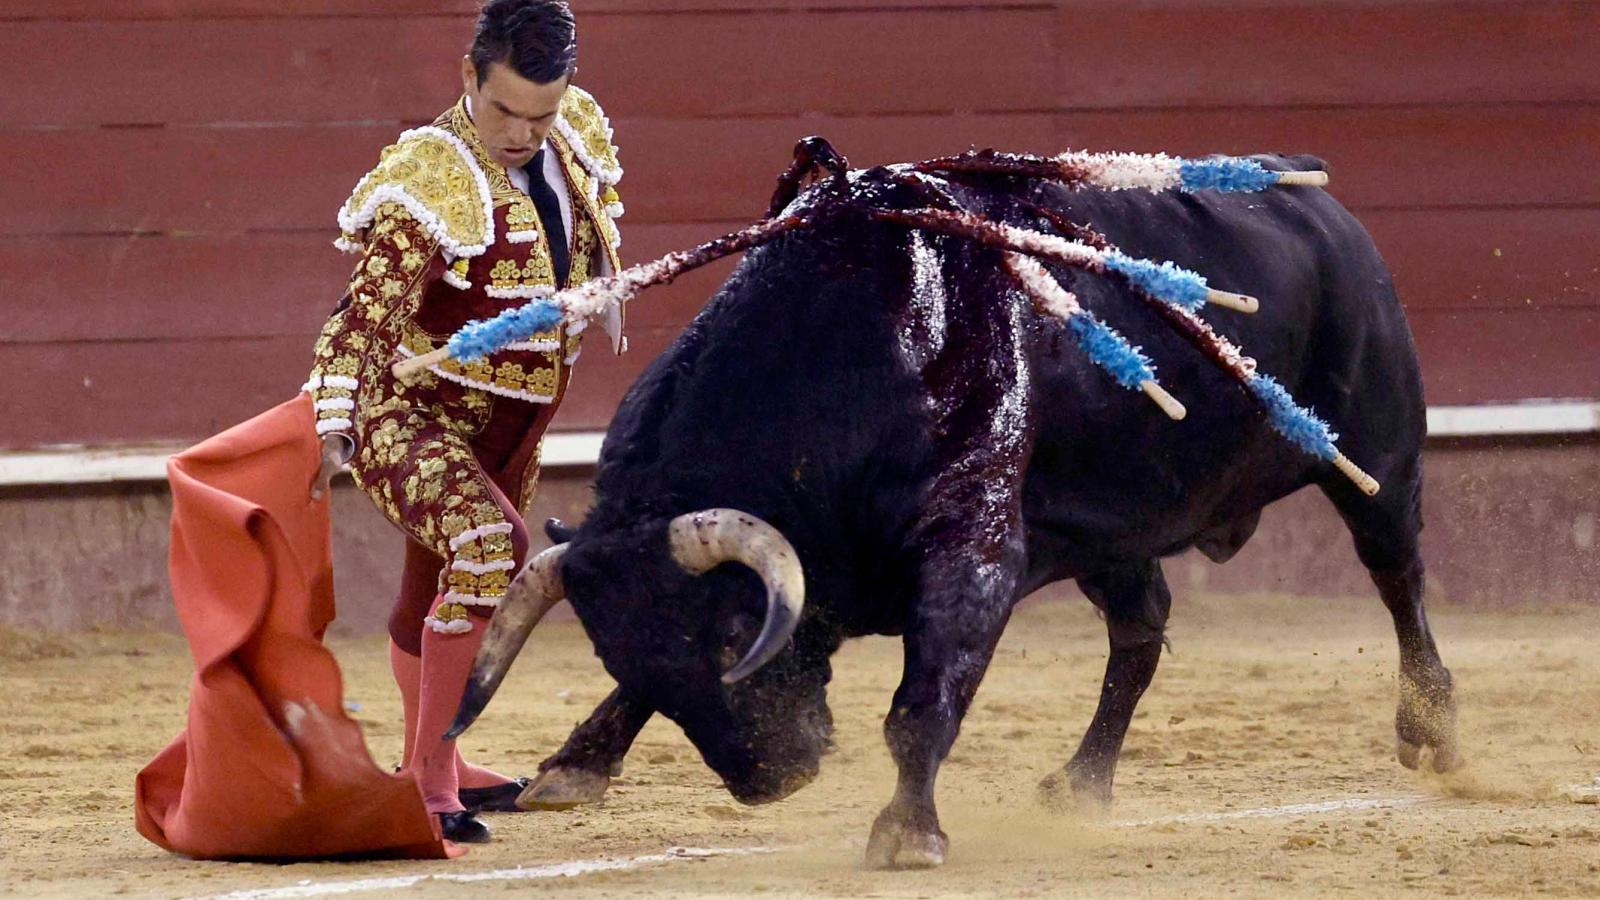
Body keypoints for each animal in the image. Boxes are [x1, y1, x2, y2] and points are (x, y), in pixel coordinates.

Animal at [444, 143, 1459, 864]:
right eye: (617, 651)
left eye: (735, 637)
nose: (772, 778)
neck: (849, 352)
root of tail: (1320, 201)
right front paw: (572, 766)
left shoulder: (973, 547)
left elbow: (923, 697)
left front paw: (907, 835)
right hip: (1109, 535)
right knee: (1140, 634)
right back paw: (1081, 785)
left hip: (1377, 451)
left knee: (1396, 573)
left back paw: (1434, 731)